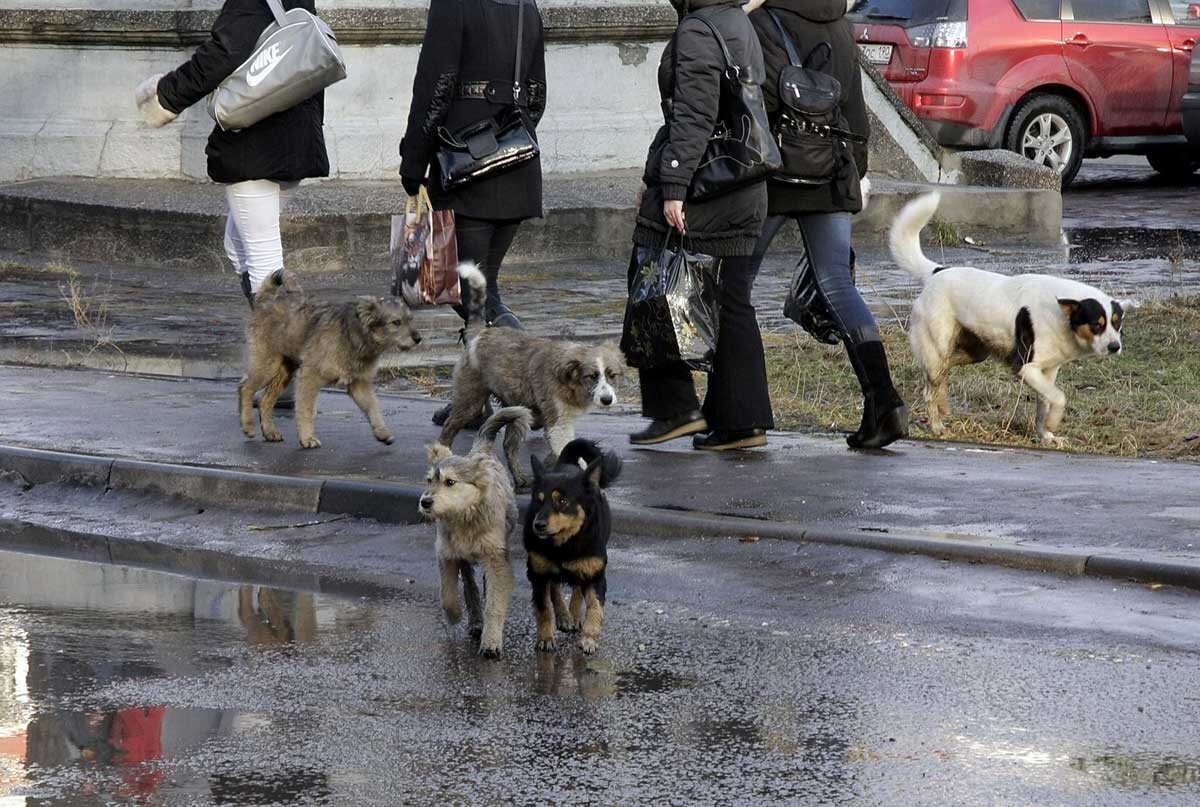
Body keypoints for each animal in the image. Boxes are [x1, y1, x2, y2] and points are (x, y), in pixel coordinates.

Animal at [238, 269, 422, 446]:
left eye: (411, 319)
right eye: (396, 322)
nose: (418, 338)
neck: (353, 335)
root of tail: (266, 300)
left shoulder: (359, 384)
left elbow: (373, 407)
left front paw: (382, 432)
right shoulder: (309, 377)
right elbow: (306, 410)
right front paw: (307, 438)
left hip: (284, 370)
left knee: (265, 399)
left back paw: (270, 431)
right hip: (267, 365)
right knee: (245, 387)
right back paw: (248, 425)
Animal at [422, 405, 535, 658]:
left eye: (450, 482)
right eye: (429, 480)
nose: (425, 502)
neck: (464, 516)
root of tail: (481, 449)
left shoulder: (497, 559)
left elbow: (494, 603)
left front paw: (491, 642)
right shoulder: (447, 554)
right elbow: (448, 594)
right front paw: (454, 615)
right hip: (463, 559)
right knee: (469, 587)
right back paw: (474, 620)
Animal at [441, 266, 628, 480]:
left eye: (612, 375)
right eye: (591, 376)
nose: (607, 400)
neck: (570, 381)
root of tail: (480, 334)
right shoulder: (558, 425)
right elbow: (569, 449)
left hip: (517, 410)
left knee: (509, 445)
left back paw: (521, 479)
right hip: (470, 400)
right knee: (449, 428)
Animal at [523, 441, 624, 653]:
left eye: (562, 501)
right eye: (538, 500)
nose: (538, 525)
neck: (565, 543)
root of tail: (566, 462)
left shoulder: (594, 574)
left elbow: (595, 606)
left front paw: (589, 638)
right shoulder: (538, 573)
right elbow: (544, 607)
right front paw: (546, 637)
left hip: (583, 567)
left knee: (577, 588)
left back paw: (575, 616)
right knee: (555, 588)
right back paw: (563, 615)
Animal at [892, 193, 1123, 446]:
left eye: (1117, 323)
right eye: (1097, 325)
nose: (1115, 347)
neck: (1061, 314)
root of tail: (937, 272)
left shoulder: (1047, 371)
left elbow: (1045, 404)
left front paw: (1046, 435)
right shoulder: (1026, 368)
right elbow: (1059, 397)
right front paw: (1053, 424)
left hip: (976, 352)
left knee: (944, 372)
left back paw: (944, 405)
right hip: (938, 348)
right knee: (930, 387)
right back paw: (937, 426)